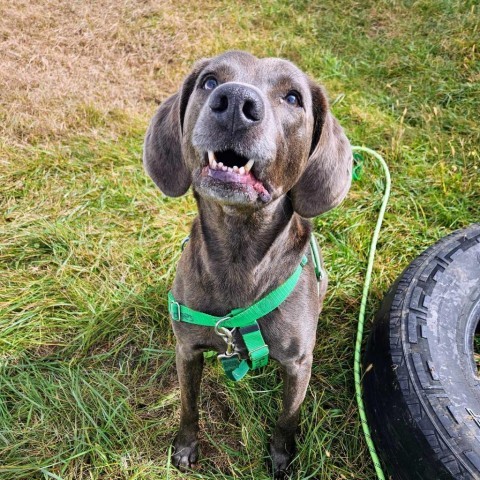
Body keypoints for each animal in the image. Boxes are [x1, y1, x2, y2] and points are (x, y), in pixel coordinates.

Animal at [142, 50, 352, 478]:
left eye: (293, 98)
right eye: (209, 81)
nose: (236, 102)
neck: (238, 255)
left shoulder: (298, 364)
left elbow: (287, 418)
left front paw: (282, 457)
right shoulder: (186, 350)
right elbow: (188, 407)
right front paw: (186, 446)